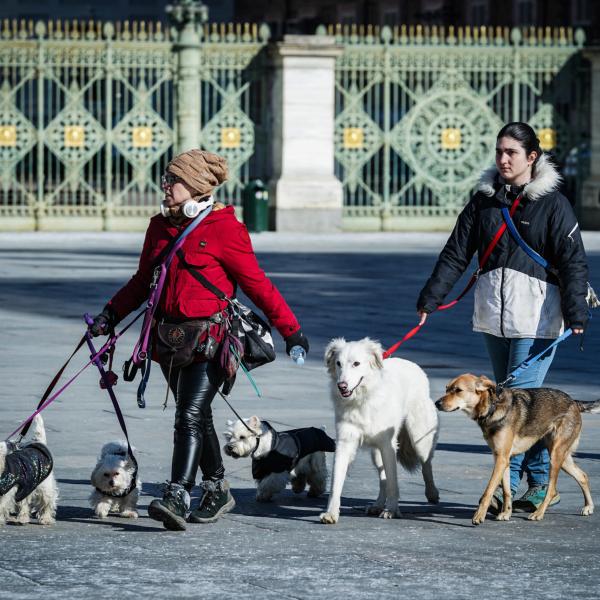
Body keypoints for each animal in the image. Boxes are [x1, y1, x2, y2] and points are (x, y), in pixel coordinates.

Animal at [322, 338, 438, 524]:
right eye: (338, 363)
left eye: (356, 363)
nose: (342, 386)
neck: (363, 399)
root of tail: (413, 365)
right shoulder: (345, 442)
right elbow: (336, 482)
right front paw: (331, 513)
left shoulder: (388, 445)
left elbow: (392, 481)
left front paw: (391, 510)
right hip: (376, 454)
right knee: (383, 478)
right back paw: (377, 505)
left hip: (419, 437)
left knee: (426, 464)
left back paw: (432, 493)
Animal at [436, 376, 600, 524]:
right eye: (446, 389)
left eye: (458, 390)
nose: (437, 403)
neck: (492, 407)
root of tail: (573, 402)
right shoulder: (503, 459)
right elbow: (507, 491)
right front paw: (506, 513)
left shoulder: (501, 459)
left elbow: (488, 491)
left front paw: (479, 516)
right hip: (562, 457)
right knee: (582, 476)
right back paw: (588, 507)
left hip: (555, 457)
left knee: (552, 489)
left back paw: (539, 513)